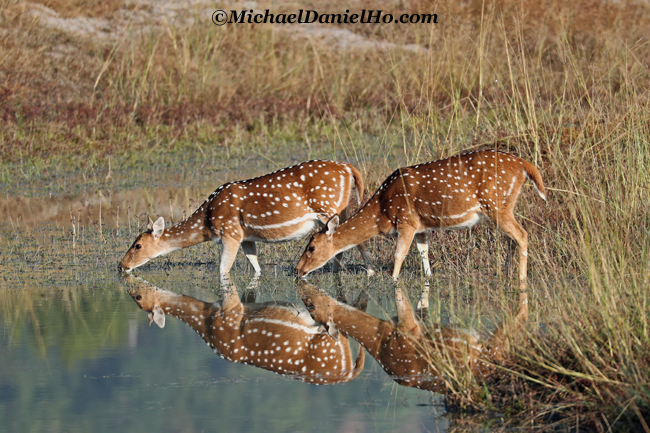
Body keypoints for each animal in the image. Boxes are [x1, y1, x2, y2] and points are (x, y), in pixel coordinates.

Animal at [118, 159, 372, 276]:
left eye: (137, 245)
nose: (121, 265)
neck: (207, 220)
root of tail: (348, 168)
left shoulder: (230, 233)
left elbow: (222, 270)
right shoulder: (247, 237)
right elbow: (255, 266)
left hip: (328, 207)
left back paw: (368, 272)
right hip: (339, 210)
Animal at [296, 150, 544, 318]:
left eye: (311, 247)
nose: (298, 270)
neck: (382, 212)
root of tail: (524, 165)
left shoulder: (406, 221)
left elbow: (398, 257)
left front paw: (393, 284)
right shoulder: (422, 228)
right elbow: (424, 255)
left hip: (496, 204)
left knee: (522, 234)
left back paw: (521, 280)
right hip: (503, 206)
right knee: (512, 238)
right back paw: (505, 273)